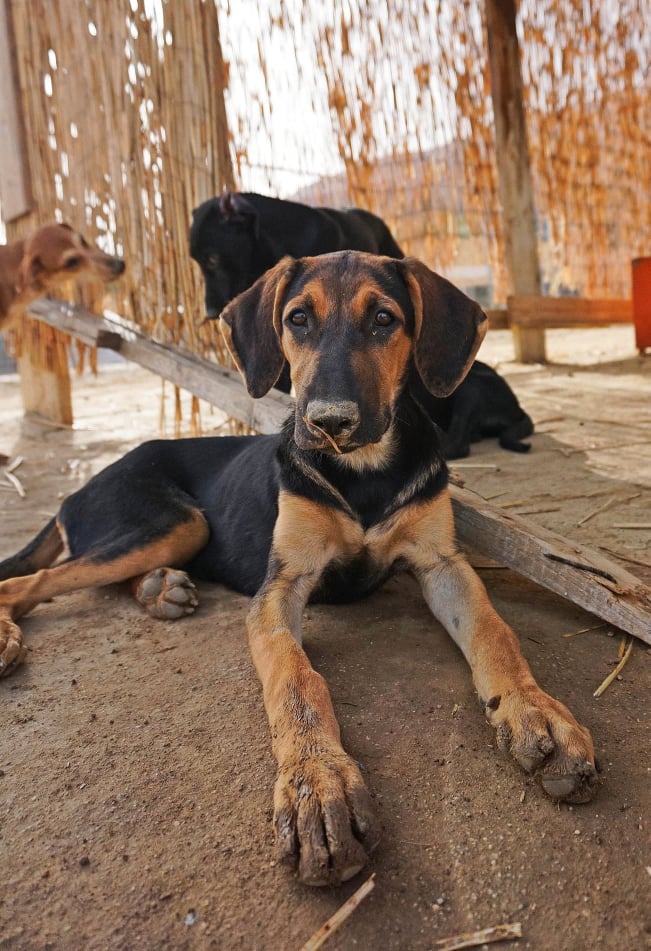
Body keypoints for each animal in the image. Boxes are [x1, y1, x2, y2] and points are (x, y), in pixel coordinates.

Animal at [0, 252, 596, 886]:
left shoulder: (442, 563)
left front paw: (536, 711)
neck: (364, 470)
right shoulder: (282, 584)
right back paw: (13, 634)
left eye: (384, 319)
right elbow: (295, 676)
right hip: (177, 520)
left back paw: (160, 589)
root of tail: (80, 488)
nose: (329, 421)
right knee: (29, 581)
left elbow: (493, 631)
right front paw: (317, 781)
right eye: (298, 319)